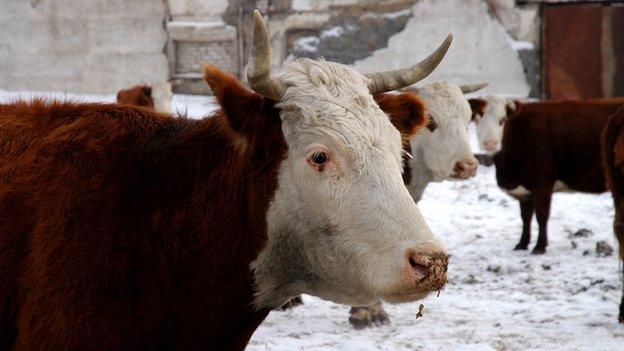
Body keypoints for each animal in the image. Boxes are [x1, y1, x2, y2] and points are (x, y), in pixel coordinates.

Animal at [492, 97, 624, 254]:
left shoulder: (542, 183)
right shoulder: (525, 190)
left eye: (502, 120)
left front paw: (539, 246)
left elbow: (541, 216)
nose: (490, 142)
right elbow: (526, 217)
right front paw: (522, 243)